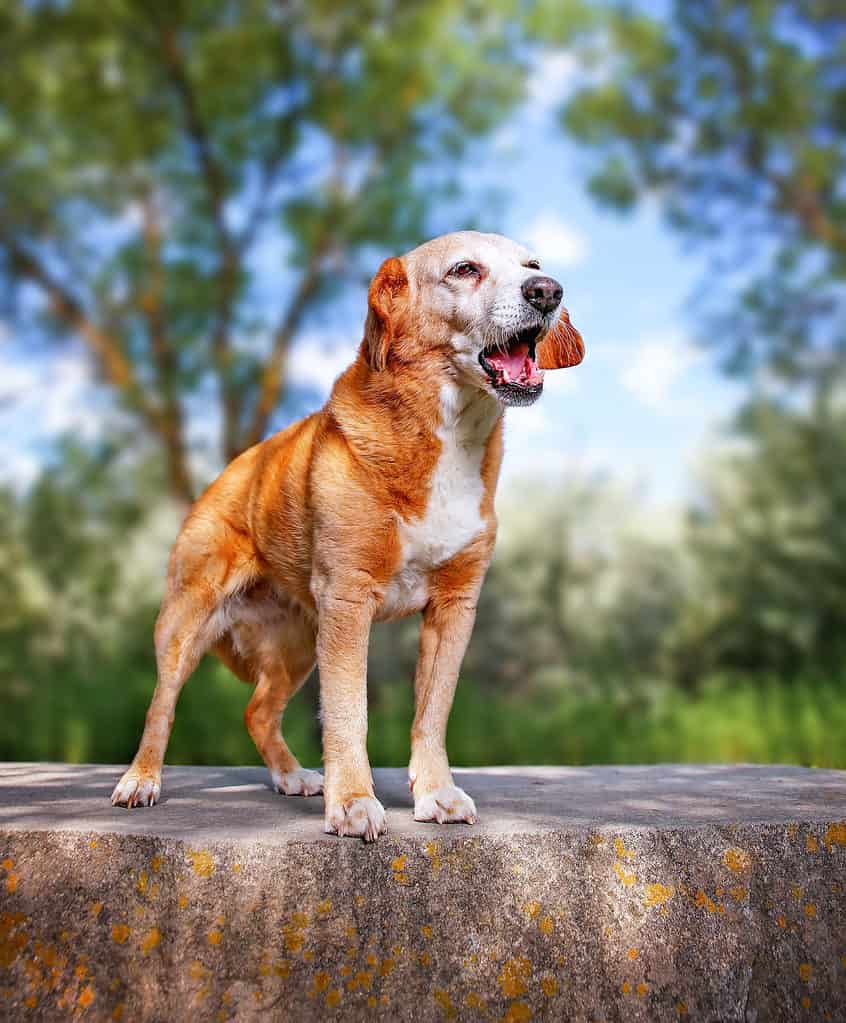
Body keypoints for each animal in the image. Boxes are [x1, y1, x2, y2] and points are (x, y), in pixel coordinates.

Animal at [112, 230, 585, 838]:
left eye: (532, 265)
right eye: (465, 269)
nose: (547, 291)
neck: (448, 437)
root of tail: (230, 470)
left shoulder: (455, 607)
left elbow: (432, 713)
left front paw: (436, 794)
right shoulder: (349, 600)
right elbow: (347, 714)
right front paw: (355, 802)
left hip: (296, 646)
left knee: (256, 711)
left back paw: (291, 776)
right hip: (187, 621)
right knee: (161, 705)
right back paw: (140, 780)